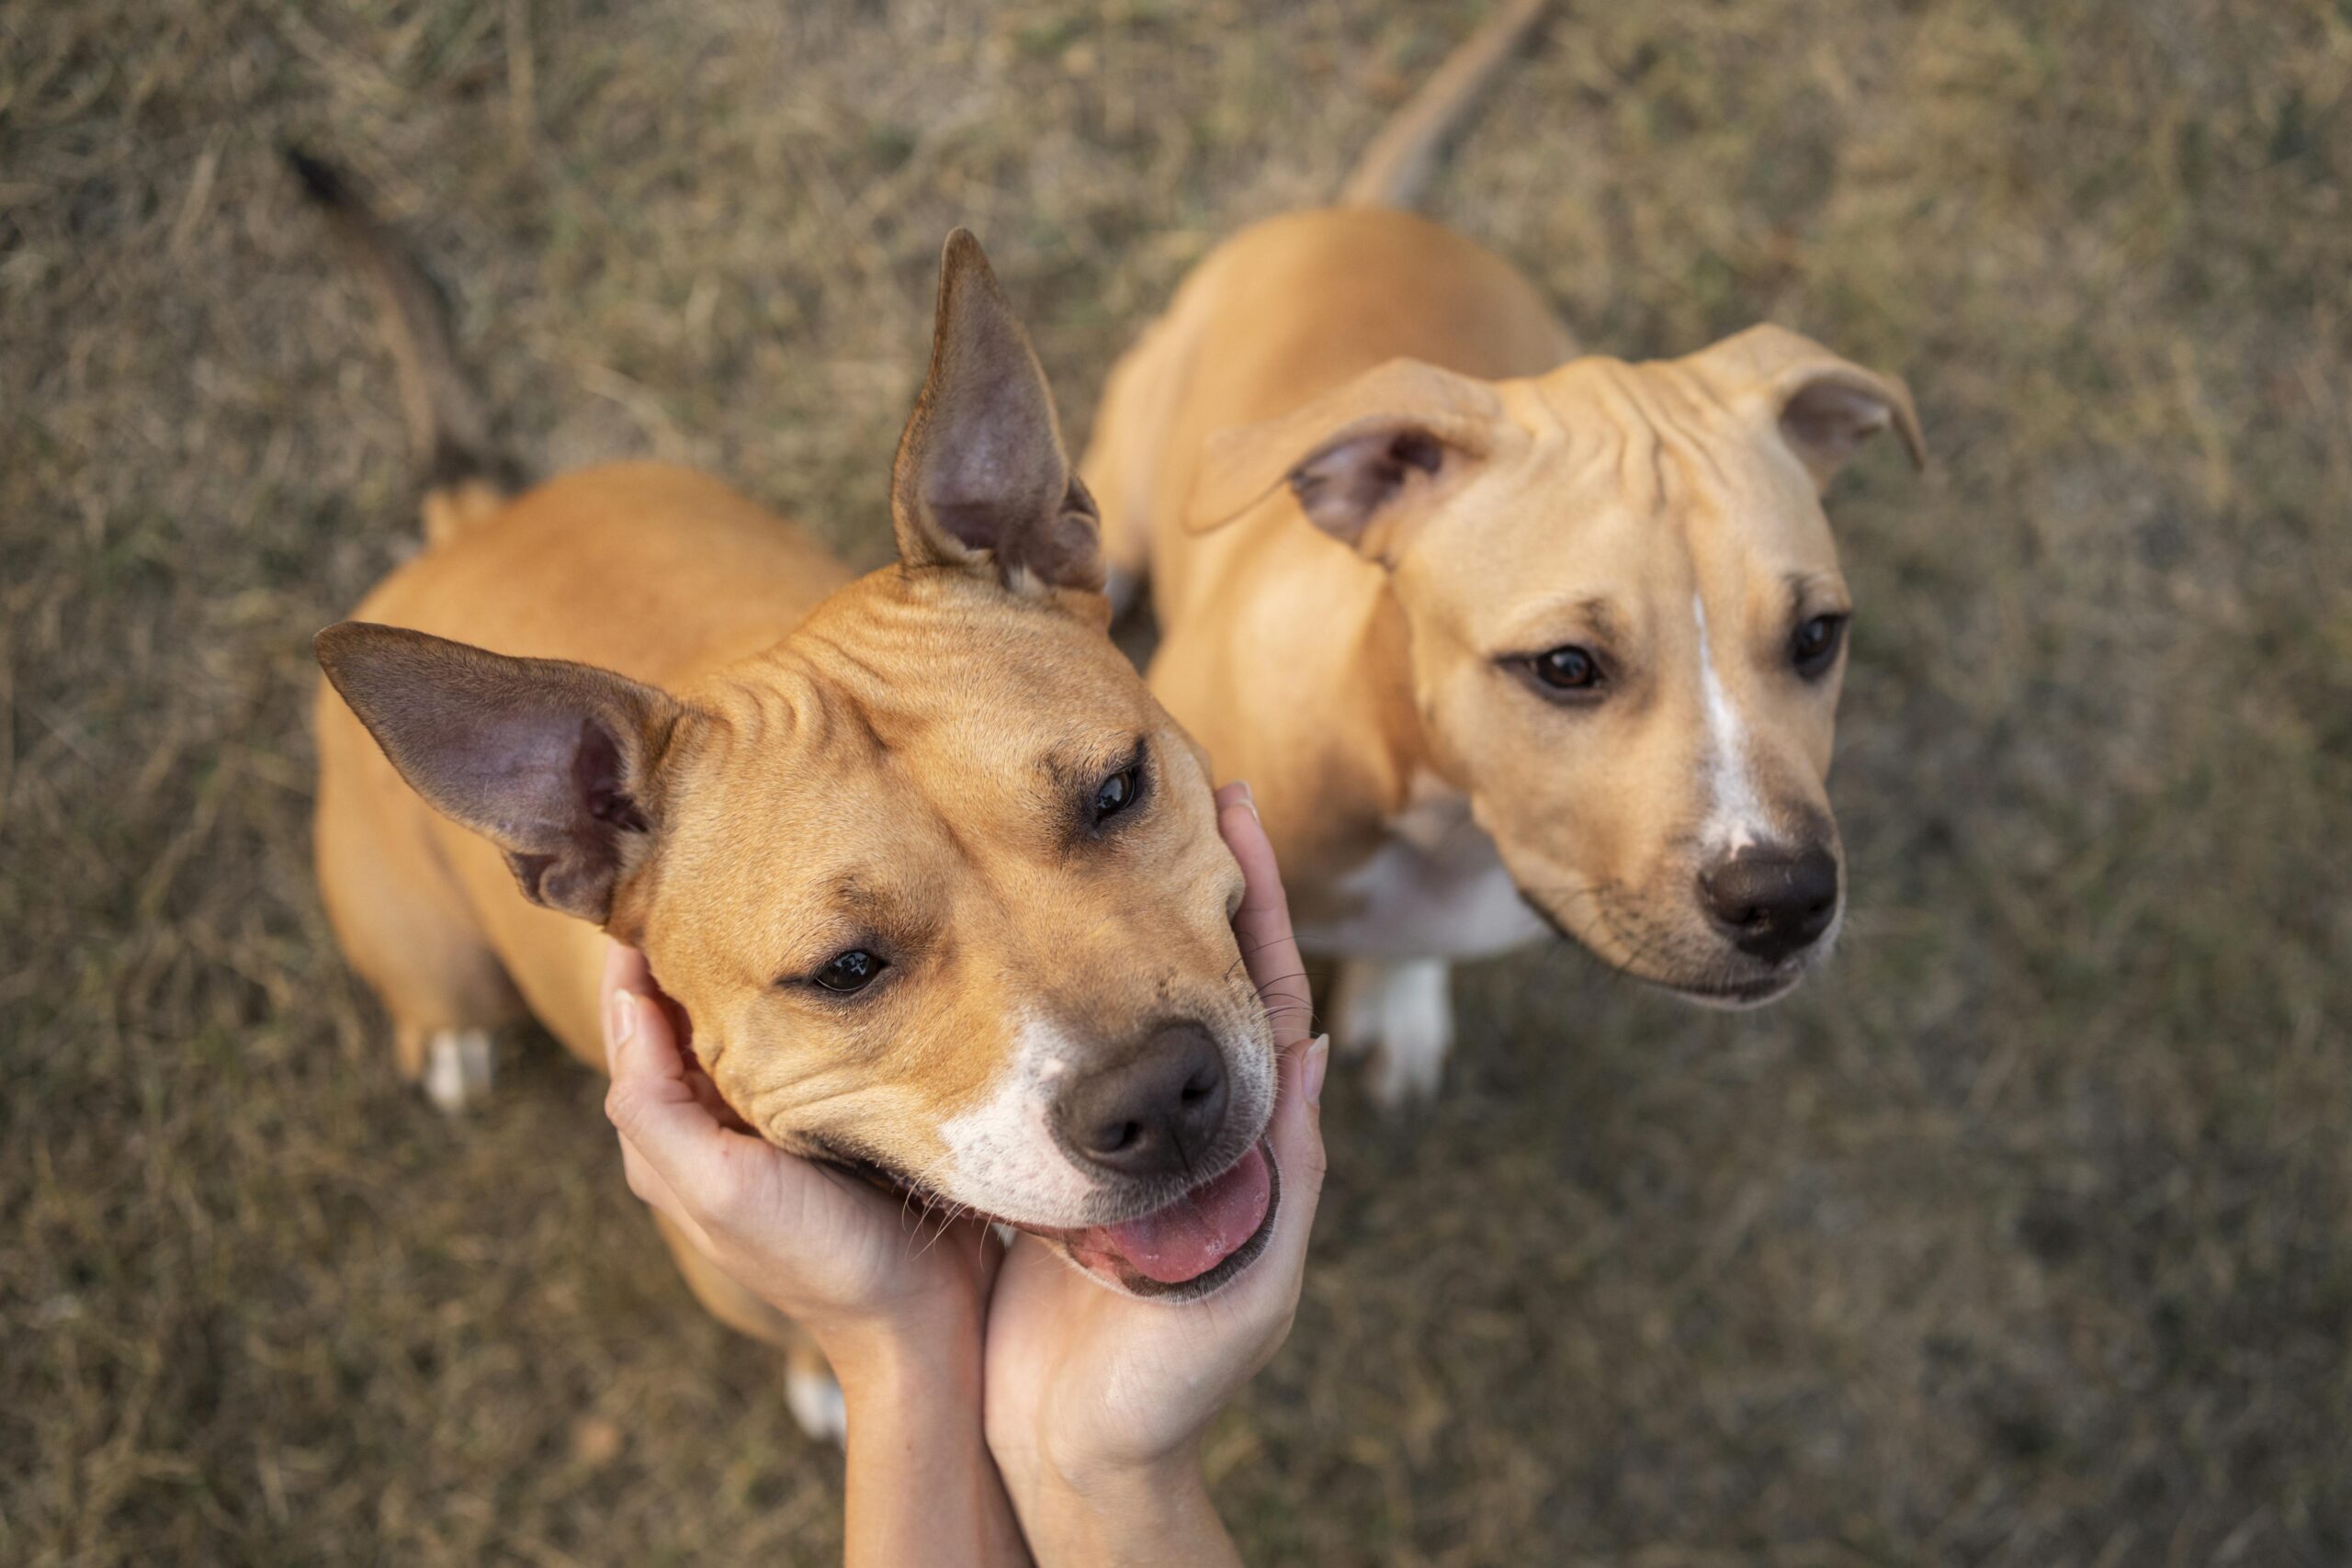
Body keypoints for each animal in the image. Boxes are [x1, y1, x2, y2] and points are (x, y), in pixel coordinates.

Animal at [300, 156, 1288, 1438]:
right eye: (845, 970)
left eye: (1117, 790)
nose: (1158, 1098)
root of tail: (480, 521)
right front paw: (828, 1373)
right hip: (438, 955)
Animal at [1081, 3, 1928, 1104]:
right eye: (1565, 666)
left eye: (1818, 636)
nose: (1783, 897)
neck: (1435, 810)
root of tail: (1366, 213)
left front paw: (1398, 998)